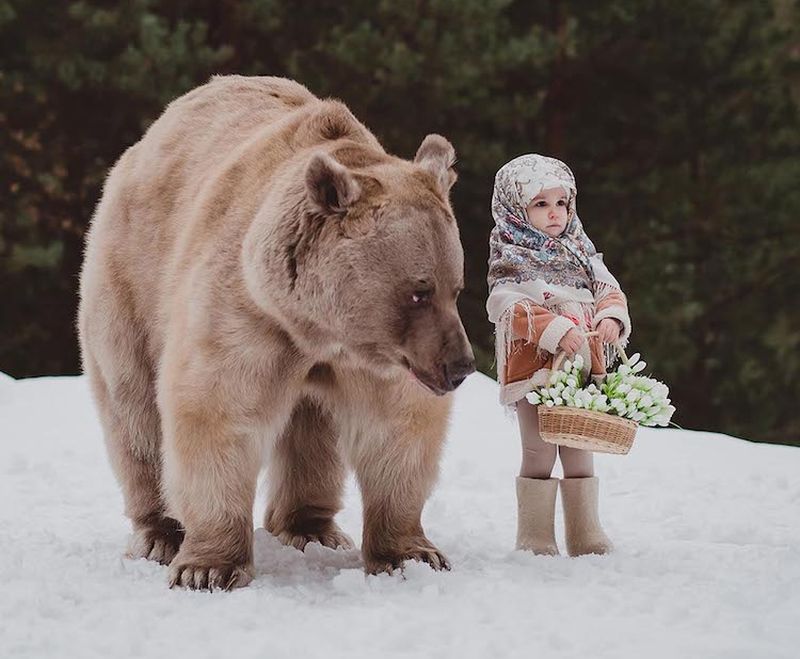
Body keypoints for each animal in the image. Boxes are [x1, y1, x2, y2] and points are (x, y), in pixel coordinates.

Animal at [76, 75, 476, 592]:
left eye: (456, 286)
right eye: (418, 291)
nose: (460, 365)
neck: (314, 326)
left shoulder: (376, 359)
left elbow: (396, 430)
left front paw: (412, 553)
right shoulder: (245, 315)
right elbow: (218, 411)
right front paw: (208, 567)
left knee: (313, 428)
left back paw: (314, 529)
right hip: (130, 282)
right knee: (134, 411)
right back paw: (159, 533)